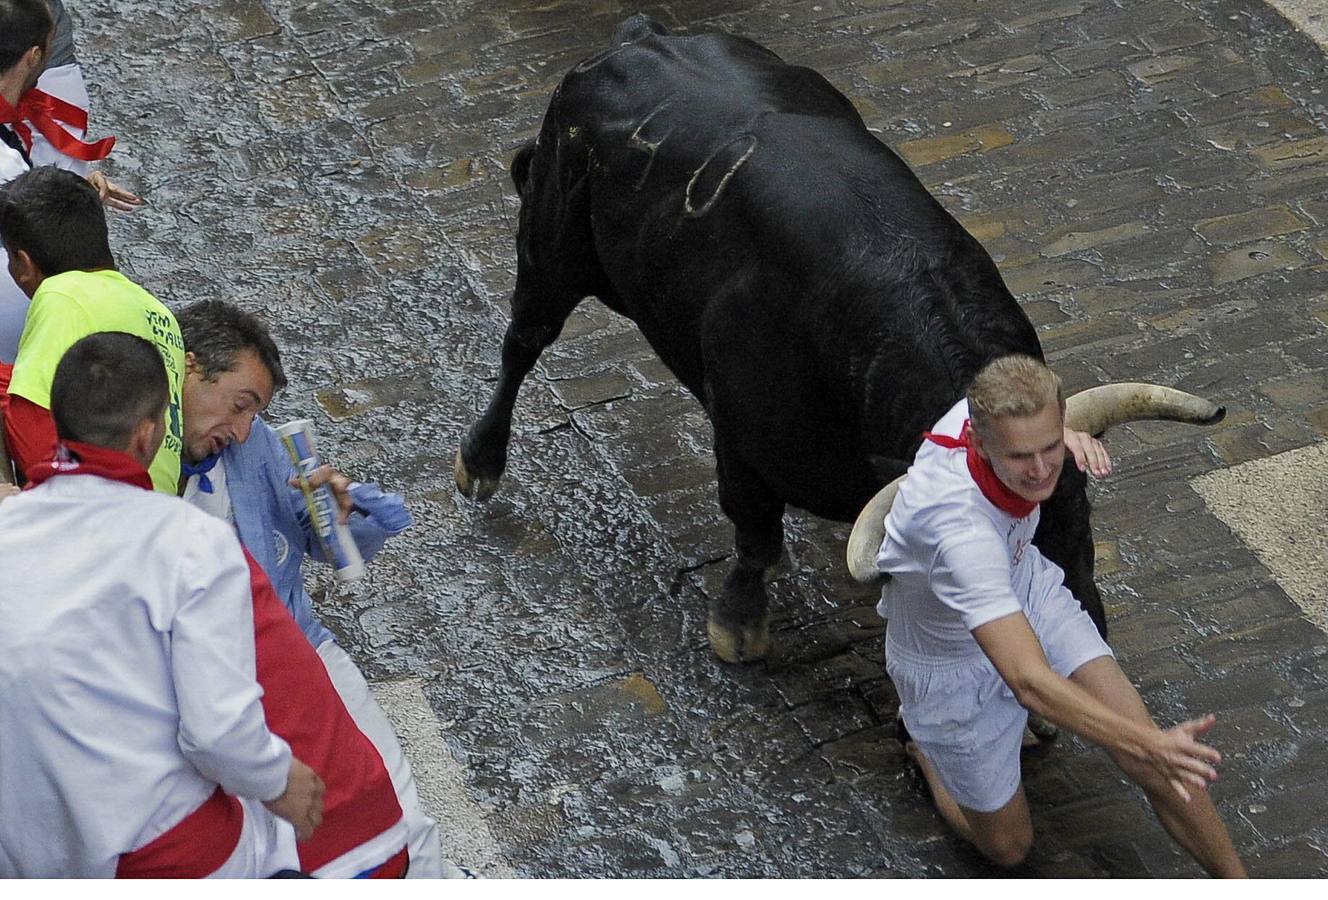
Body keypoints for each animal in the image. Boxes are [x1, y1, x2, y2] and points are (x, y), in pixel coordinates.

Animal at [456, 15, 1221, 663]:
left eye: (1082, 520)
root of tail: (639, 38)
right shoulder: (741, 430)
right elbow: (754, 534)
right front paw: (739, 625)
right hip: (552, 247)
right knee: (523, 341)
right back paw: (479, 461)